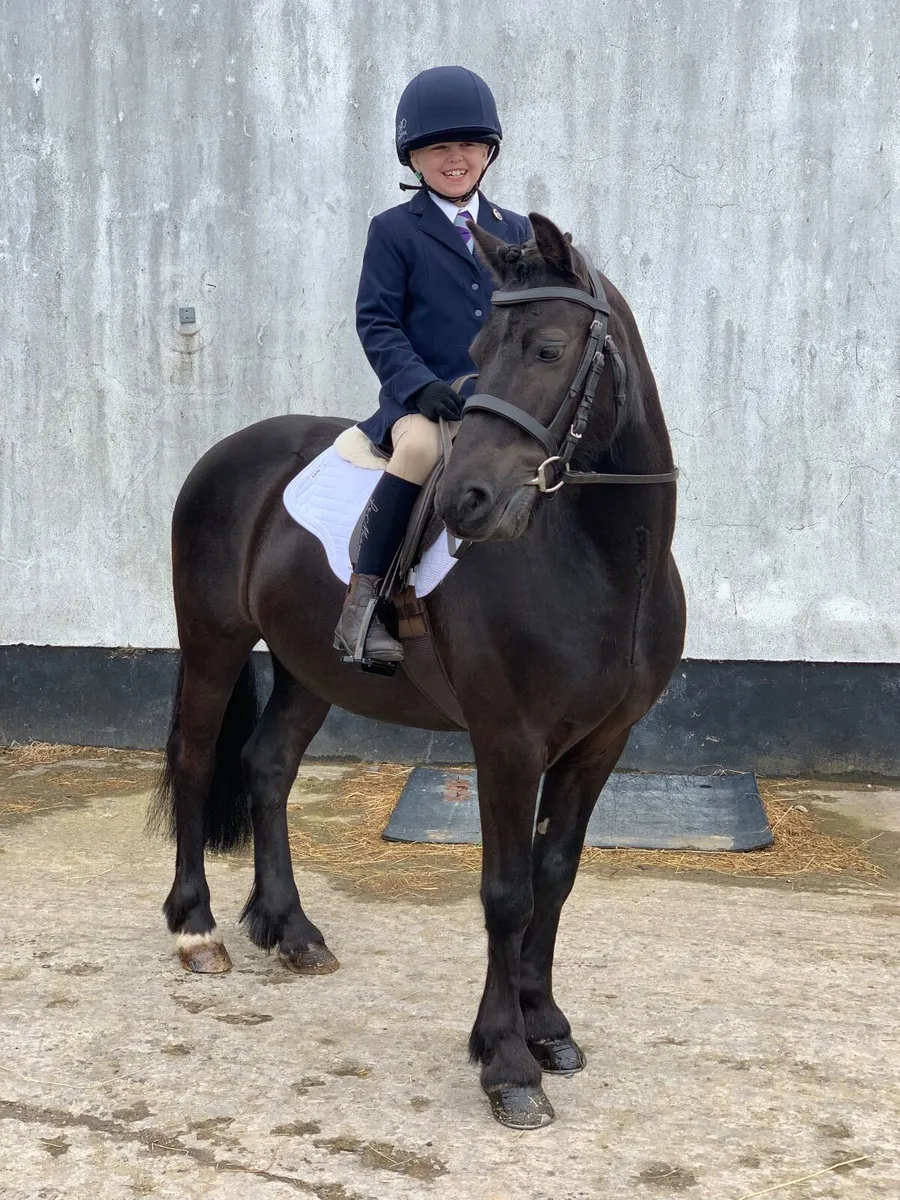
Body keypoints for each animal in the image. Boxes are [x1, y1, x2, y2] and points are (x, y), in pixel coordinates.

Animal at [150, 213, 686, 1130]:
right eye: (477, 348)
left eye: (548, 348)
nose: (466, 501)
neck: (607, 558)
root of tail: (228, 452)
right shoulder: (508, 741)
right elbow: (507, 891)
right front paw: (506, 1062)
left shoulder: (599, 744)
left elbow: (556, 875)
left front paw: (547, 1027)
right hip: (213, 642)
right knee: (194, 760)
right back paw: (199, 933)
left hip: (310, 669)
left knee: (266, 767)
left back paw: (292, 932)